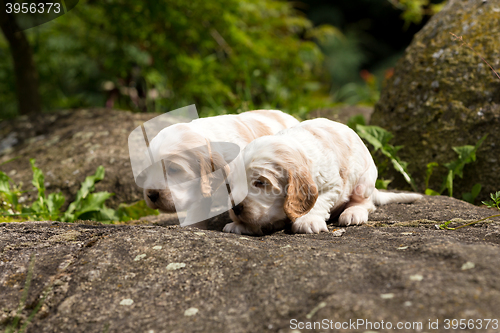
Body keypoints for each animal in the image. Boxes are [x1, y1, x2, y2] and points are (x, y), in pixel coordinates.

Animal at [225, 118, 424, 235]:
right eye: (232, 185)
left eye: (260, 182)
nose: (235, 208)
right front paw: (241, 226)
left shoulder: (332, 185)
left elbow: (318, 201)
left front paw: (308, 220)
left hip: (364, 182)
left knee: (365, 203)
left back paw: (353, 213)